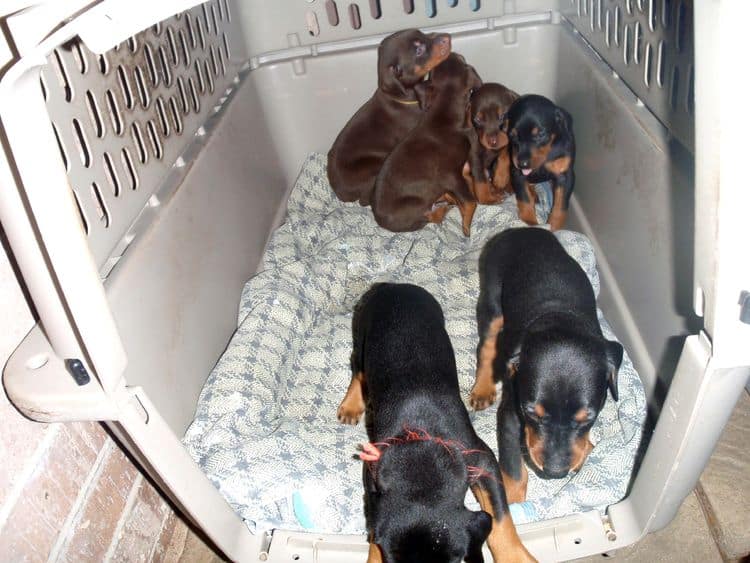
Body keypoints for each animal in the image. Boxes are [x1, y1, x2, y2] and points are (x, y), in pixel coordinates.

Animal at [328, 28, 452, 207]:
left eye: (422, 33)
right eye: (418, 50)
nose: (447, 37)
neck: (400, 96)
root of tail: (340, 193)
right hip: (374, 168)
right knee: (365, 200)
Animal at [338, 286, 536, 563]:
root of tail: (391, 285)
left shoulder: (482, 460)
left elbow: (500, 516)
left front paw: (514, 556)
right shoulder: (373, 474)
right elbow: (373, 525)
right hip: (362, 337)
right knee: (357, 370)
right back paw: (351, 405)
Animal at [374, 52, 484, 236]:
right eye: (461, 59)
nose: (451, 52)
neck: (444, 116)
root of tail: (381, 222)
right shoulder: (451, 175)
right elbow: (471, 202)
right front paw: (466, 227)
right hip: (416, 204)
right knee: (432, 216)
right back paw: (444, 208)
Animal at [470, 229, 624, 502]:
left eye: (589, 417)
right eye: (532, 413)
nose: (555, 472)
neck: (560, 319)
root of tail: (518, 230)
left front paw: (585, 449)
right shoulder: (510, 413)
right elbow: (513, 468)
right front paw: (512, 504)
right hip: (491, 298)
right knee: (487, 346)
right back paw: (482, 389)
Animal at [508, 96, 580, 230]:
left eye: (541, 134)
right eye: (512, 135)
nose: (522, 164)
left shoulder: (565, 175)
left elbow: (560, 205)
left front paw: (554, 227)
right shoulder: (517, 173)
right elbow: (524, 198)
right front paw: (530, 222)